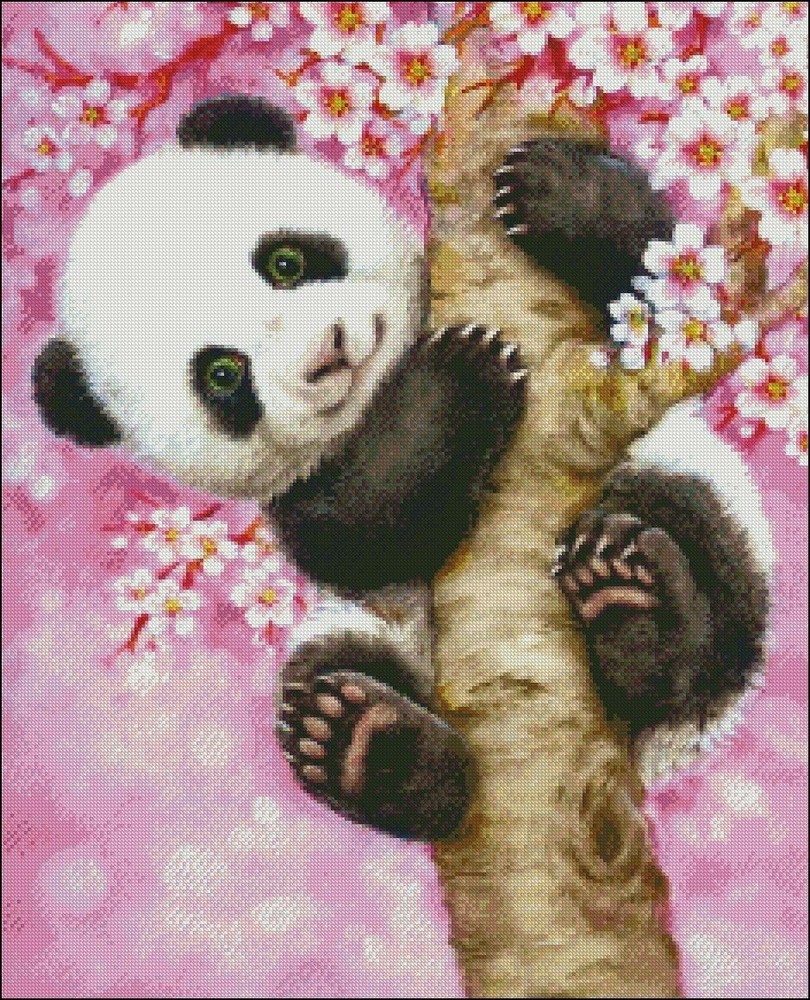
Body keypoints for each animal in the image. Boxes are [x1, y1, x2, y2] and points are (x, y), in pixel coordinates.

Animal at [32, 95, 773, 842]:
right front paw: (458, 378)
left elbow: (668, 295)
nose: (328, 351)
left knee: (695, 544)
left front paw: (554, 188)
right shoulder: (298, 493)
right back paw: (372, 749)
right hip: (368, 636)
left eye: (285, 261)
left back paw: (635, 606)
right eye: (222, 374)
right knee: (331, 679)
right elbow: (359, 530)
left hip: (695, 494)